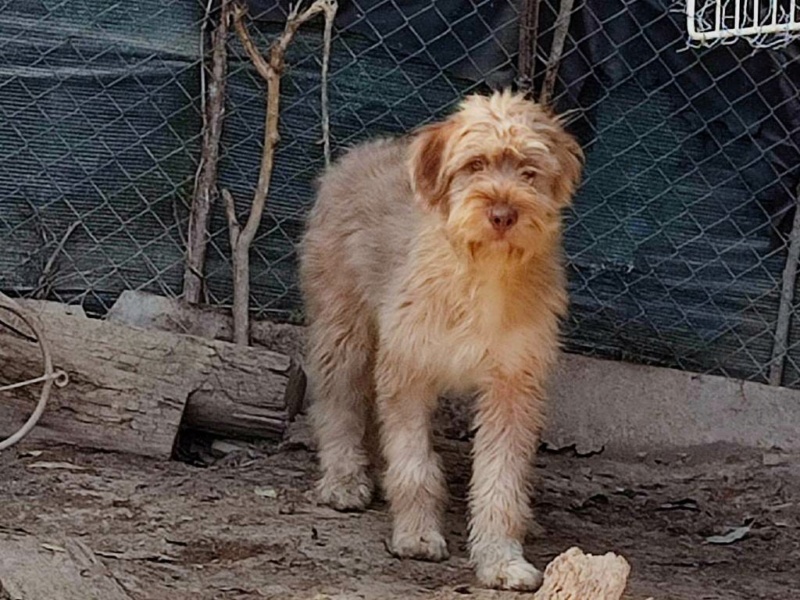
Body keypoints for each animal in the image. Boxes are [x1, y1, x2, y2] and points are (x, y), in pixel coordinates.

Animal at [298, 89, 580, 592]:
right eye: (474, 165)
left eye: (529, 171)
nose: (503, 213)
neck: (482, 270)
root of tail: (361, 151)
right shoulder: (408, 370)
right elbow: (414, 466)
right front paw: (416, 535)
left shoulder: (513, 385)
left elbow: (501, 481)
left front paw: (502, 559)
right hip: (343, 330)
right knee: (338, 403)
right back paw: (345, 479)